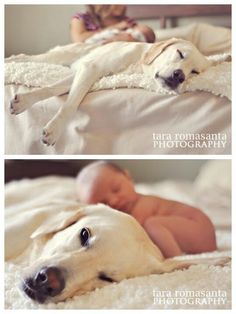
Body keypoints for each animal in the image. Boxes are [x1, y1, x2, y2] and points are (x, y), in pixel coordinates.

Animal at [9, 39, 211, 146]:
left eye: (195, 72)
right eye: (180, 53)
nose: (179, 76)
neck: (137, 63)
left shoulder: (82, 72)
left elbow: (53, 89)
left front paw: (24, 101)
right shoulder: (91, 68)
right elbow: (71, 104)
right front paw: (55, 129)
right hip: (60, 56)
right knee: (24, 57)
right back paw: (10, 60)